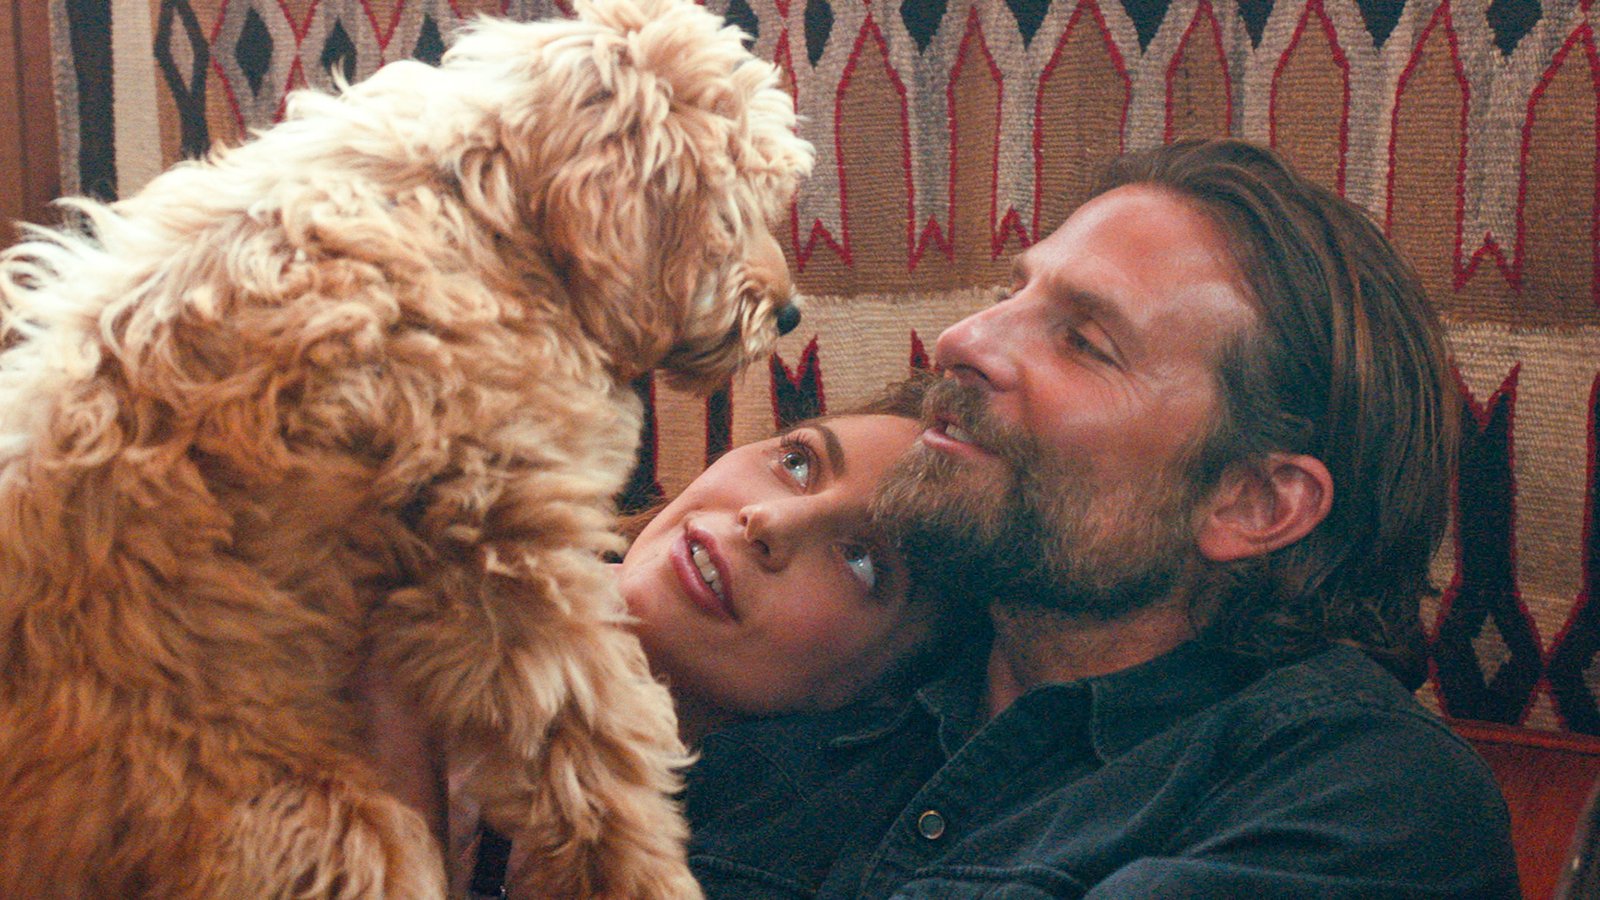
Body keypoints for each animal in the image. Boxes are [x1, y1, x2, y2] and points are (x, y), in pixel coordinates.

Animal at [0, 0, 806, 890]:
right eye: (739, 207)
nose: (791, 313)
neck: (489, 216)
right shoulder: (509, 555)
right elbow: (596, 752)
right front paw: (641, 877)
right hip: (313, 816)